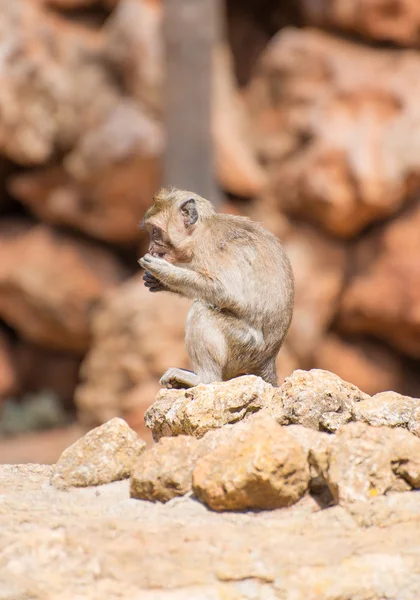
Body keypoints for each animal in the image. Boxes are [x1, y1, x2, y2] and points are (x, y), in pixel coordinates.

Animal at [139, 185, 294, 390]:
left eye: (155, 231)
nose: (150, 248)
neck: (200, 233)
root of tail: (268, 360)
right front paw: (159, 281)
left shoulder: (216, 250)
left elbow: (226, 292)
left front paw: (163, 271)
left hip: (246, 346)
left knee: (202, 311)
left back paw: (203, 379)